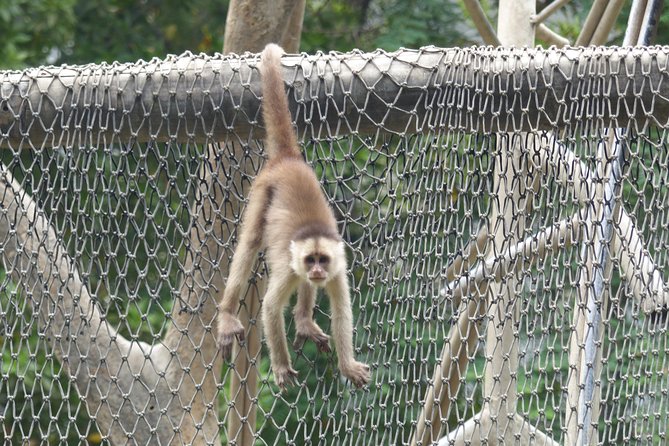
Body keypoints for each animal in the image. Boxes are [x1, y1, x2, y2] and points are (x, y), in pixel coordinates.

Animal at [215, 43, 368, 388]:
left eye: (322, 260)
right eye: (311, 260)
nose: (316, 270)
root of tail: (288, 160)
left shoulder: (338, 267)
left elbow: (343, 313)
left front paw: (346, 364)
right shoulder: (290, 266)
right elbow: (271, 308)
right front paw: (282, 367)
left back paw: (303, 321)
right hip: (263, 188)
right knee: (250, 243)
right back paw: (228, 314)